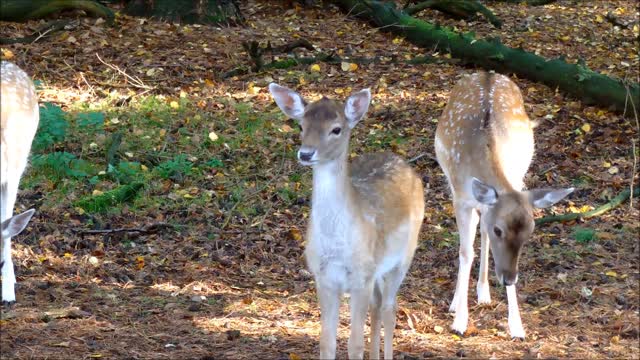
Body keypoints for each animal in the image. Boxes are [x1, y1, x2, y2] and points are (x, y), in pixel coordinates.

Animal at [268, 85, 424, 360]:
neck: (338, 247)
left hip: (403, 257)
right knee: (377, 306)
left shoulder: (361, 276)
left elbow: (354, 344)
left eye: (336, 129)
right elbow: (327, 342)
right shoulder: (324, 276)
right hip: (376, 270)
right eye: (301, 125)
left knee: (389, 309)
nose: (306, 153)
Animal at [436, 71, 576, 338]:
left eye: (530, 232)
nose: (509, 278)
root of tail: (486, 73)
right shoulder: (460, 198)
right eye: (499, 230)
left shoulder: (516, 184)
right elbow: (465, 252)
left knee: (481, 231)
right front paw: (460, 321)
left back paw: (484, 293)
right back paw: (457, 302)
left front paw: (517, 326)